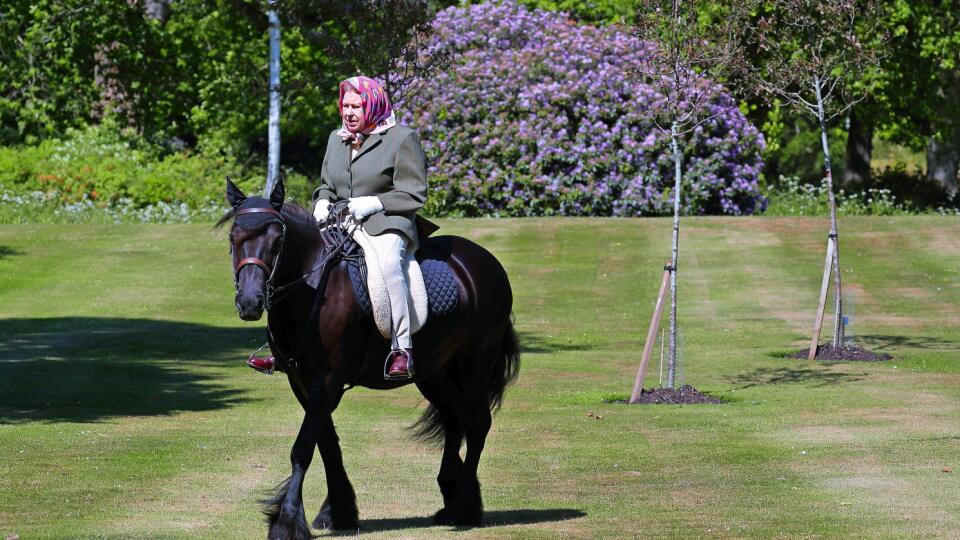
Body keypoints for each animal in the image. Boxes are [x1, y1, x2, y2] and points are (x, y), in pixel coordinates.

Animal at [219, 179, 516, 536]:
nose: (250, 302)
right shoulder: (302, 381)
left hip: (476, 363)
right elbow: (326, 443)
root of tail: (484, 261)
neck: (313, 288)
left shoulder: (327, 380)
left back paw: (467, 507)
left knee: (476, 423)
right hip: (435, 372)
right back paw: (452, 497)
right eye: (234, 239)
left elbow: (303, 448)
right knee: (454, 418)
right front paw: (338, 511)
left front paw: (287, 521)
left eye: (277, 241)